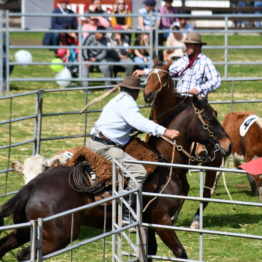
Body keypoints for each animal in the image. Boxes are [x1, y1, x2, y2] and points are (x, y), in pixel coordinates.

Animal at [0, 92, 230, 260]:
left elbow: (149, 253)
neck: (165, 164)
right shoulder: (162, 221)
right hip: (57, 237)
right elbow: (180, 253)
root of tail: (32, 186)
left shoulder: (148, 223)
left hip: (25, 229)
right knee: (25, 255)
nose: (228, 145)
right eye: (210, 118)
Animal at [143, 63, 231, 229]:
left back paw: (195, 221)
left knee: (206, 193)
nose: (148, 95)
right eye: (149, 74)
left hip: (212, 165)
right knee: (186, 188)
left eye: (164, 76)